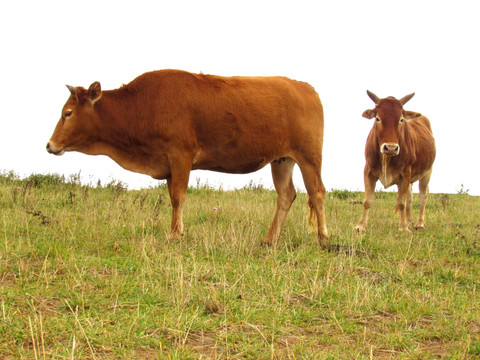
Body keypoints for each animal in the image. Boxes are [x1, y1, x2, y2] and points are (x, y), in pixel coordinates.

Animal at [46, 69, 330, 246]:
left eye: (68, 113)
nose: (49, 145)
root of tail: (304, 87)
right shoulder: (168, 163)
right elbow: (174, 196)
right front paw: (177, 232)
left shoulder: (180, 154)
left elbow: (178, 197)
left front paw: (174, 234)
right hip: (281, 159)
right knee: (286, 195)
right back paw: (270, 240)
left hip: (309, 156)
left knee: (316, 192)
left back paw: (323, 238)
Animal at [354, 89, 436, 231]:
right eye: (378, 118)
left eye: (401, 119)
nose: (391, 148)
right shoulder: (368, 171)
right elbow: (367, 201)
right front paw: (360, 226)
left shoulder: (405, 174)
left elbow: (401, 202)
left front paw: (403, 227)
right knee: (410, 197)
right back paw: (409, 221)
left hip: (427, 172)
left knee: (423, 195)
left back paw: (419, 223)